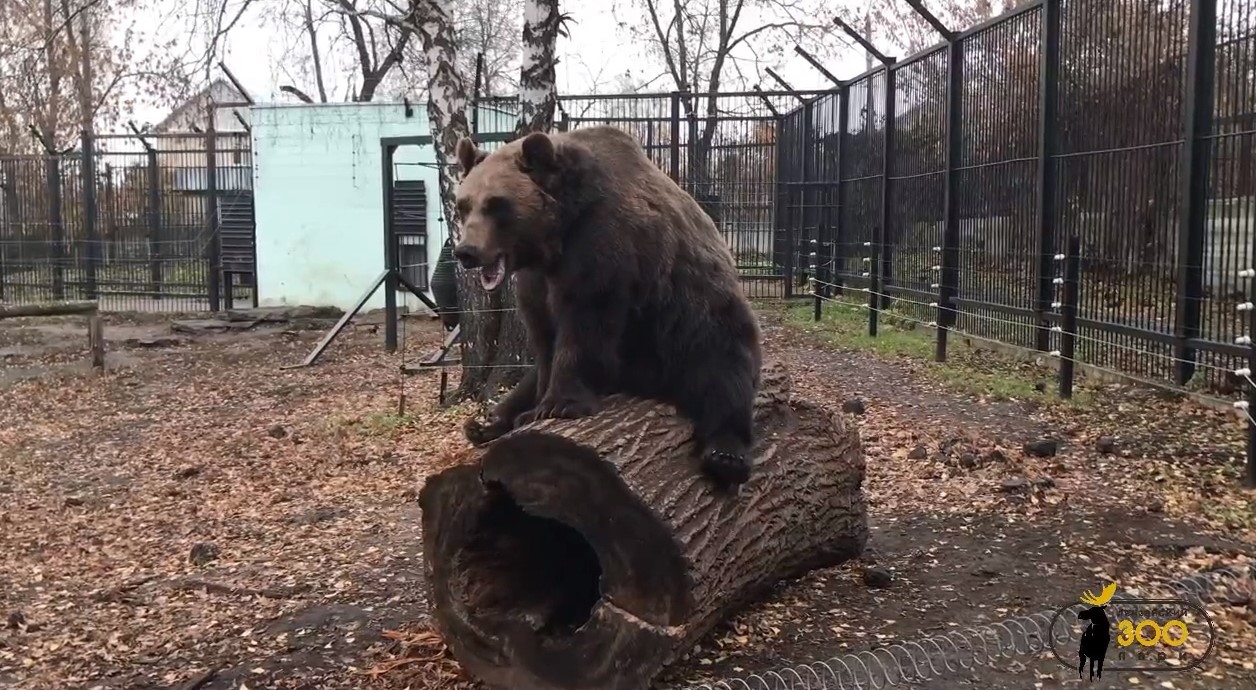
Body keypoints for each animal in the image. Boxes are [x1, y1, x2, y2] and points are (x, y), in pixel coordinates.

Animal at [454, 125, 758, 490]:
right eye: (463, 205)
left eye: (497, 205)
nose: (466, 251)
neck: (555, 236)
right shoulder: (534, 281)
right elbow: (543, 341)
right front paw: (531, 409)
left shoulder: (602, 245)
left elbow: (584, 324)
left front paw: (559, 404)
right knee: (521, 384)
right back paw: (484, 424)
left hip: (693, 322)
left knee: (723, 370)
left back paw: (726, 453)